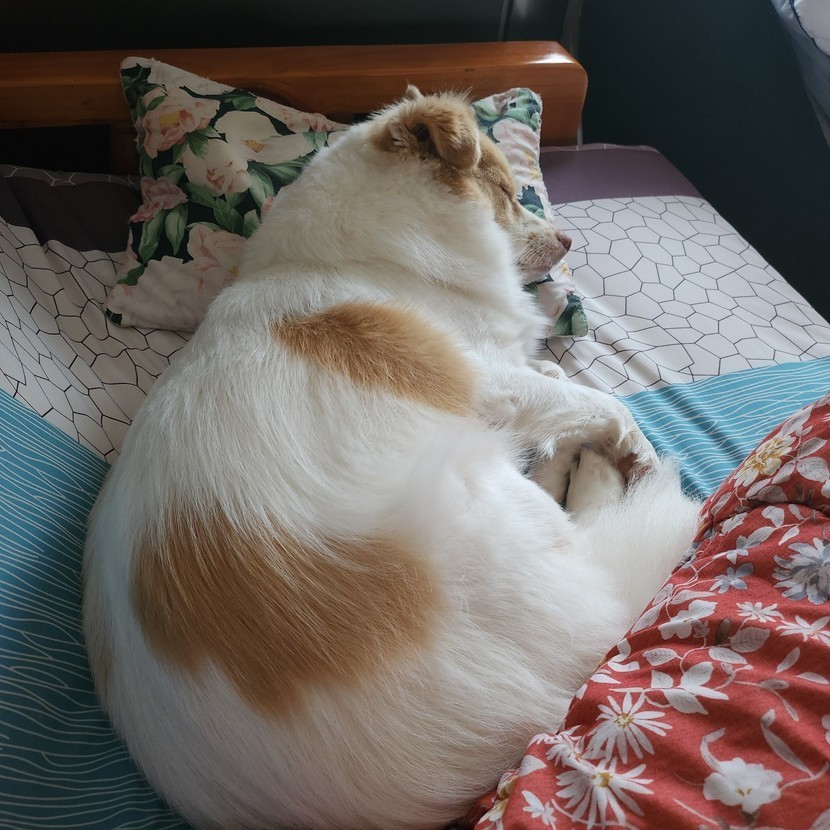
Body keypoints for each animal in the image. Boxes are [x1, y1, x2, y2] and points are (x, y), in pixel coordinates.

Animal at [83, 87, 701, 829]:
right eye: (505, 190)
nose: (569, 240)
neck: (362, 256)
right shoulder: (487, 378)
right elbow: (599, 400)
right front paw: (630, 445)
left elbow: (566, 394)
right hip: (490, 501)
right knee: (584, 523)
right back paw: (599, 471)